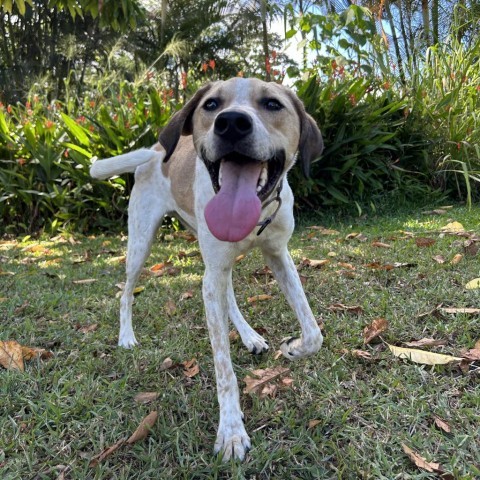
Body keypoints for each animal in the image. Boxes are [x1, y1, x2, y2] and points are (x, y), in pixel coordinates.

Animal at [89, 77, 324, 460]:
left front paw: (294, 347)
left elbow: (313, 331)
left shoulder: (278, 254)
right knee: (126, 293)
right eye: (211, 104)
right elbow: (224, 369)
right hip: (141, 242)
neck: (255, 214)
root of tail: (155, 150)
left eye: (272, 104)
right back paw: (126, 336)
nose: (231, 124)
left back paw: (249, 335)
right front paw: (230, 431)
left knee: (227, 294)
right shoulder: (213, 273)